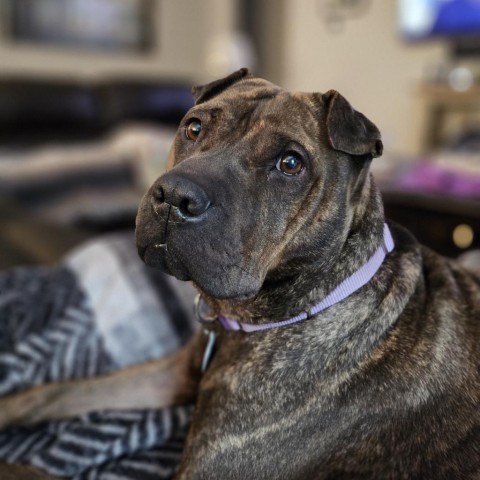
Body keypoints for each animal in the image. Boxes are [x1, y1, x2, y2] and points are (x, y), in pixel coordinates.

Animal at [0, 68, 478, 480]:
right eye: (193, 128)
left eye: (290, 163)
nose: (175, 196)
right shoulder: (175, 373)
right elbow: (56, 392)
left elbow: (26, 469)